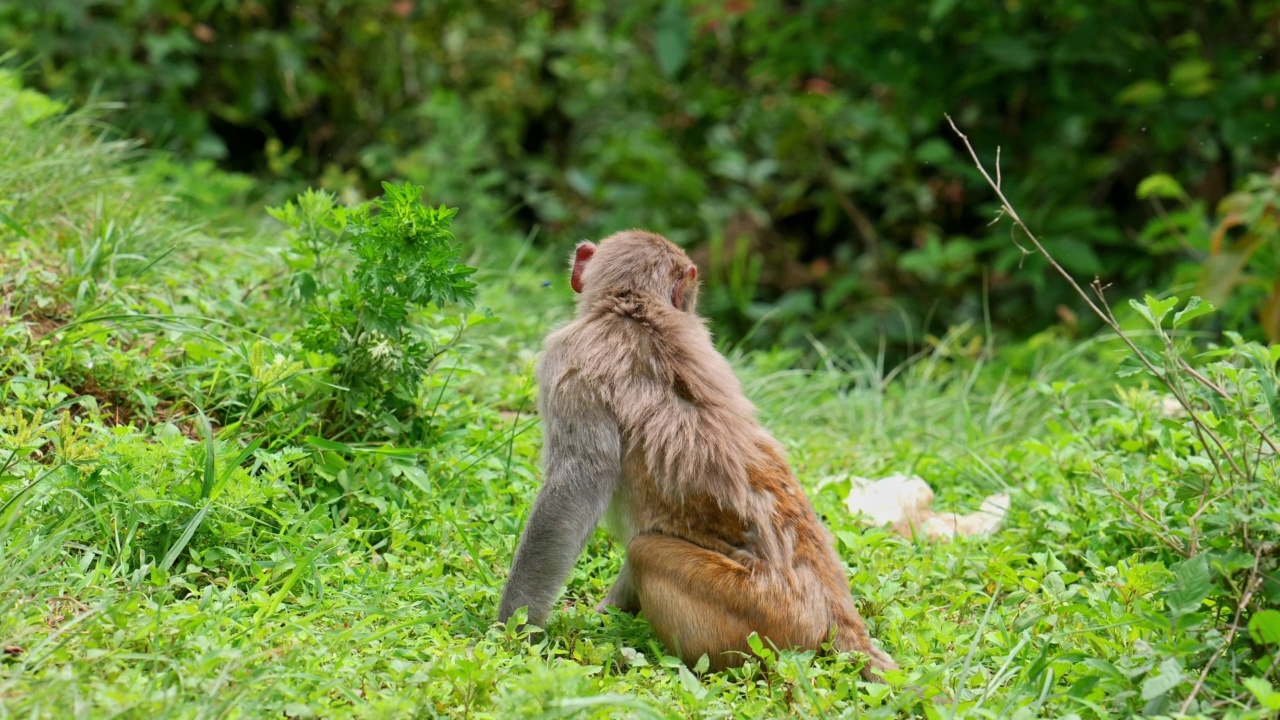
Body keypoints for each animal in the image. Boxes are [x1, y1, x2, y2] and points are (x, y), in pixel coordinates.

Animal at [494, 226, 896, 676]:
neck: (634, 309)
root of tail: (835, 612)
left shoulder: (566, 361)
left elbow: (575, 487)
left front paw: (513, 629)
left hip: (763, 617)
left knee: (645, 550)